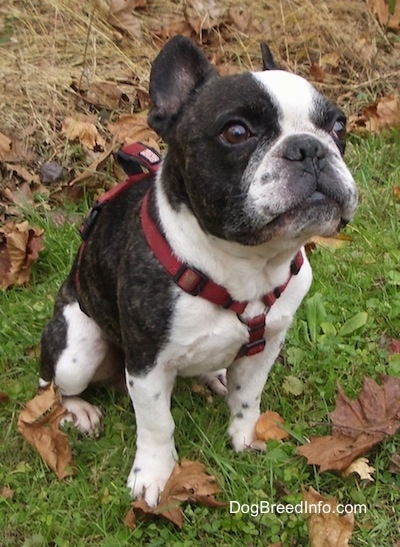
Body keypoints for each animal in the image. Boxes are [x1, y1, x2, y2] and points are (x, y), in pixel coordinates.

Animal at [38, 34, 356, 508]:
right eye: (236, 132)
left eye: (338, 127)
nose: (309, 148)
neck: (248, 263)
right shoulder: (147, 365)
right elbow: (157, 424)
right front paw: (154, 475)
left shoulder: (268, 342)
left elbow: (249, 396)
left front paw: (244, 436)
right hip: (77, 350)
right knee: (56, 385)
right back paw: (80, 411)